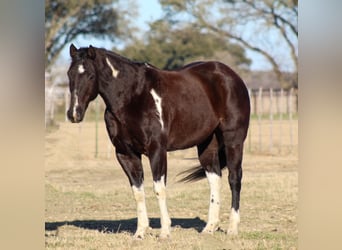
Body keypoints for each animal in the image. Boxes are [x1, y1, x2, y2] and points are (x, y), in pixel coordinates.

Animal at [67, 44, 250, 239]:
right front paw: (140, 232)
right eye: (69, 74)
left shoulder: (157, 150)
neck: (133, 96)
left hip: (234, 141)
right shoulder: (126, 154)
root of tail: (231, 76)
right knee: (215, 179)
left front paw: (164, 232)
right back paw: (209, 227)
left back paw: (232, 228)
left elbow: (159, 189)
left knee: (234, 178)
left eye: (90, 75)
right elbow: (138, 192)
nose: (73, 114)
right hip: (207, 145)